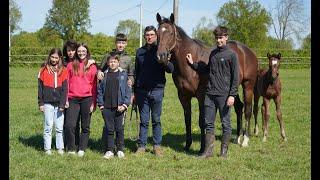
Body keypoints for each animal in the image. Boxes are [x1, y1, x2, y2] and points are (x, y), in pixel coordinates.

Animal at [156, 13, 258, 152]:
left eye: (171, 33)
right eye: (157, 33)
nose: (161, 56)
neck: (190, 65)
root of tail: (248, 51)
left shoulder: (201, 96)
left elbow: (202, 121)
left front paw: (203, 147)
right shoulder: (183, 96)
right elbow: (187, 119)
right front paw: (187, 145)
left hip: (248, 86)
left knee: (247, 110)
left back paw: (245, 140)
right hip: (232, 88)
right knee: (239, 107)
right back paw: (237, 138)